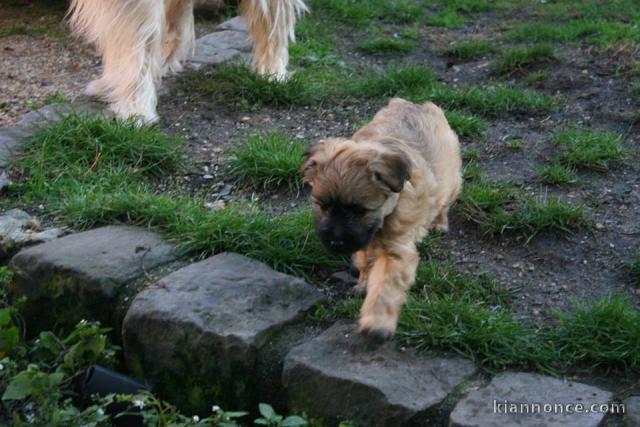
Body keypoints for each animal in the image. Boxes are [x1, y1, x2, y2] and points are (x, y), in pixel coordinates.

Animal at [302, 98, 462, 340]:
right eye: (323, 206)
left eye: (359, 210)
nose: (336, 243)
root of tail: (416, 104)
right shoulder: (364, 240)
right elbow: (365, 260)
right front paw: (363, 282)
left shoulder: (395, 250)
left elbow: (385, 287)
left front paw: (377, 322)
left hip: (450, 175)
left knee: (445, 200)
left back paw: (439, 223)